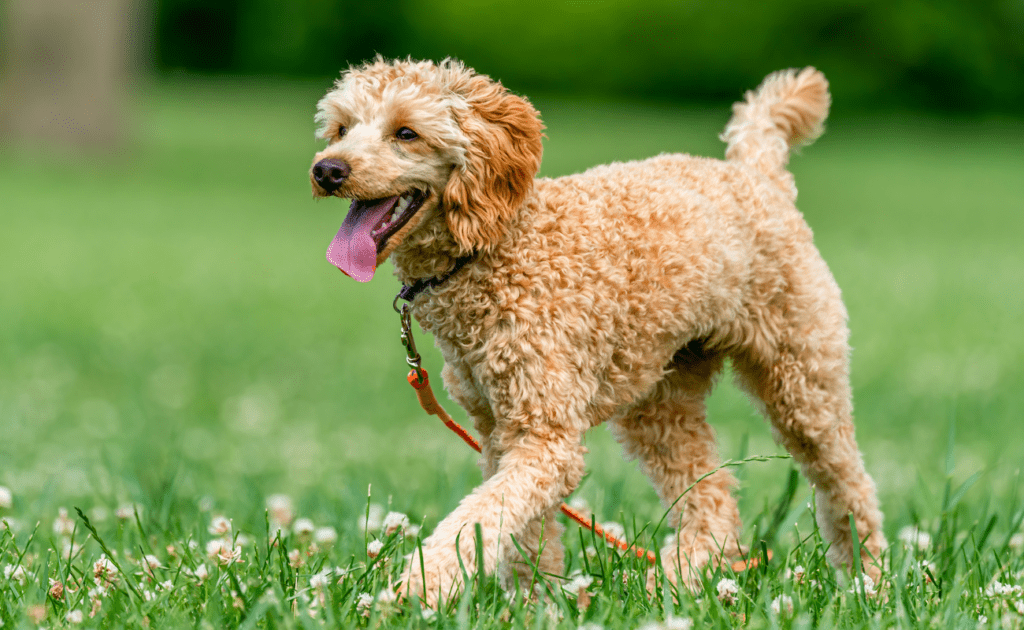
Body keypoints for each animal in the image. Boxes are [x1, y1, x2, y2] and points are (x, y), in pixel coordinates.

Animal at [307, 59, 884, 606]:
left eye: (406, 133)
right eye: (340, 129)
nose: (327, 169)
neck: (498, 247)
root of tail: (757, 173)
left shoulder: (544, 435)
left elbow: (480, 518)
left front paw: (418, 589)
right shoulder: (500, 431)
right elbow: (521, 532)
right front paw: (535, 602)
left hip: (802, 375)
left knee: (848, 483)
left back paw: (868, 581)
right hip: (661, 399)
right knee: (714, 497)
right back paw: (676, 582)